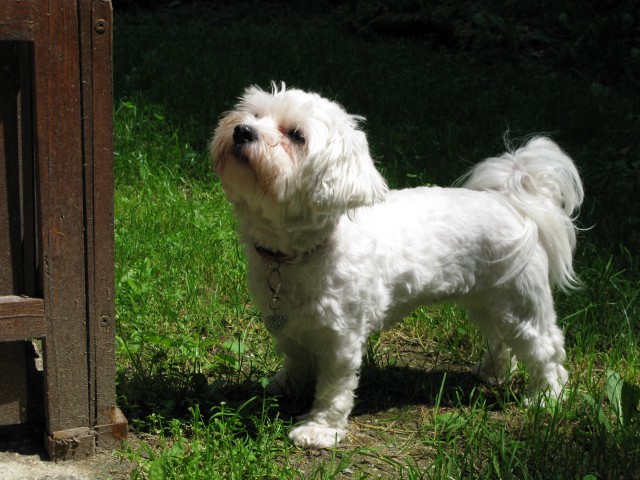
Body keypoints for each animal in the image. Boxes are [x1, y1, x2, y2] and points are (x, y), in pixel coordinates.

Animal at [211, 84, 584, 448]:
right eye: (254, 114)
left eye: (296, 135)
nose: (242, 131)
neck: (303, 253)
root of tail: (512, 203)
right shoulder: (290, 323)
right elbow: (295, 359)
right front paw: (282, 388)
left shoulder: (342, 338)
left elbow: (333, 387)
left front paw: (320, 430)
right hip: (489, 300)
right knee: (500, 338)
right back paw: (493, 372)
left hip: (520, 303)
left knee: (547, 350)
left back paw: (547, 398)